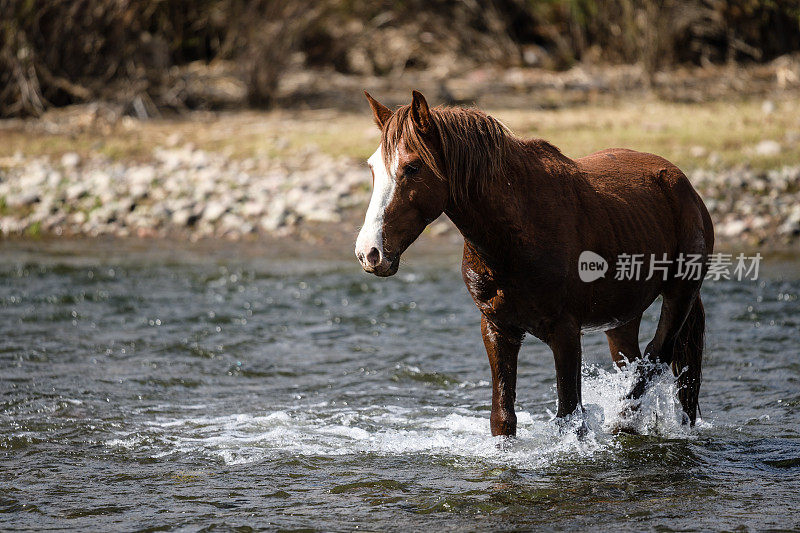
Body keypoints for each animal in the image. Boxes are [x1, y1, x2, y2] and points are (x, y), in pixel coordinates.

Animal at [354, 89, 712, 434]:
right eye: (372, 168)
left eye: (412, 167)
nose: (369, 252)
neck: (516, 235)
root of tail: (683, 185)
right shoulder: (497, 329)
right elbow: (503, 419)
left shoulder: (566, 331)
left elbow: (570, 418)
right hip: (622, 319)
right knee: (635, 364)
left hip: (680, 293)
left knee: (656, 357)